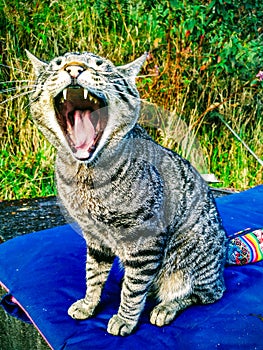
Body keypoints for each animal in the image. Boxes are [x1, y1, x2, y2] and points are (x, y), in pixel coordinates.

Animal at [25, 50, 227, 336]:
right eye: (57, 63)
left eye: (100, 65)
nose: (74, 68)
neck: (85, 178)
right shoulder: (95, 238)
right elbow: (93, 275)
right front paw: (88, 304)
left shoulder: (144, 242)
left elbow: (133, 290)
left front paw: (124, 319)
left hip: (190, 257)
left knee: (204, 293)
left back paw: (166, 307)